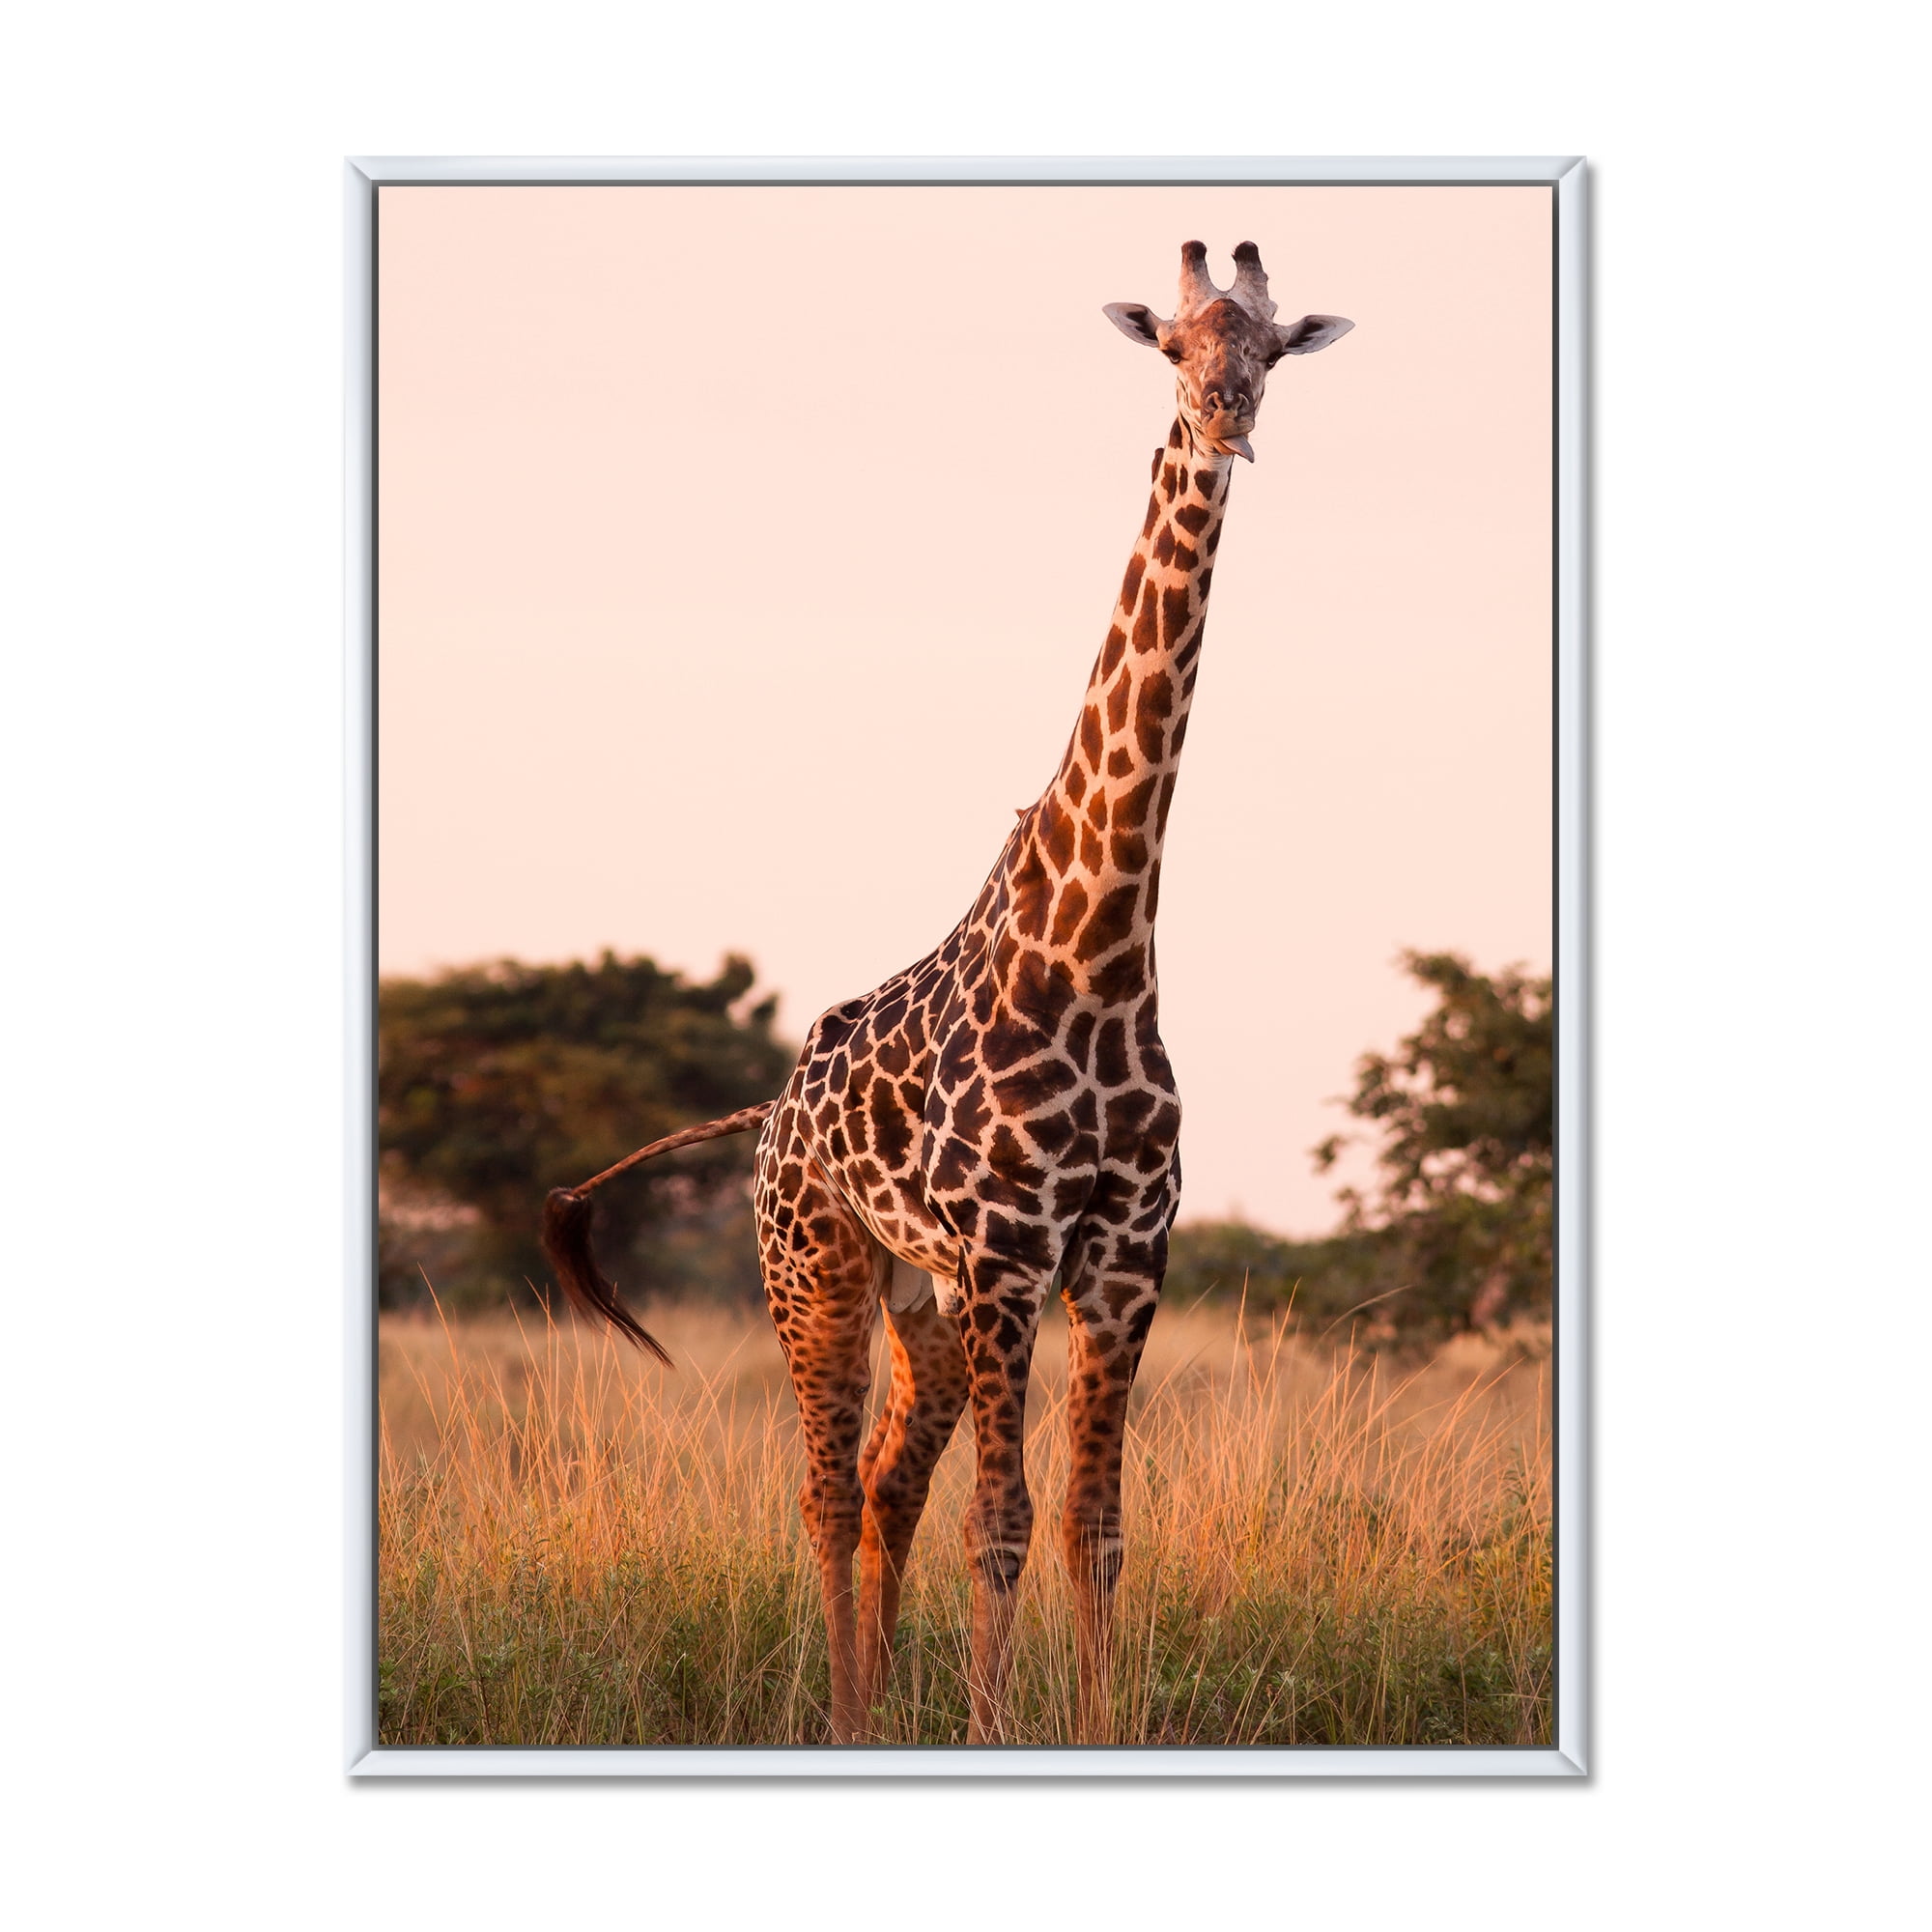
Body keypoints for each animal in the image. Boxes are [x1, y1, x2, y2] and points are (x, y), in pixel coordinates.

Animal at [542, 240, 1352, 1745]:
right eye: (1173, 349)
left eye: (1270, 349)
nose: (1225, 419)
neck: (1098, 951)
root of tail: (769, 1115)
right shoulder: (1008, 1256)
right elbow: (1006, 1519)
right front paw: (988, 1723)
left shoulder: (1122, 1260)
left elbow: (1094, 1522)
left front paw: (1098, 1723)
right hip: (816, 1269)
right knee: (822, 1489)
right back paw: (845, 1714)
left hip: (916, 1303)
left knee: (882, 1487)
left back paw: (873, 1705)